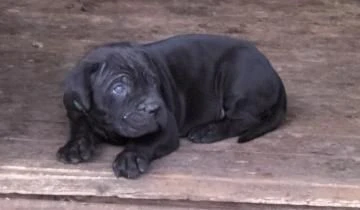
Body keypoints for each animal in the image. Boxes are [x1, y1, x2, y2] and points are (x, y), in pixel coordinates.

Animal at [56, 34, 286, 179]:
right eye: (119, 88)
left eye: (153, 81)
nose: (153, 108)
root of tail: (274, 71)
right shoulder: (76, 113)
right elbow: (81, 129)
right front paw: (75, 147)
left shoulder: (166, 128)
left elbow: (145, 141)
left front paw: (130, 158)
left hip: (236, 73)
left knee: (245, 119)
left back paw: (208, 131)